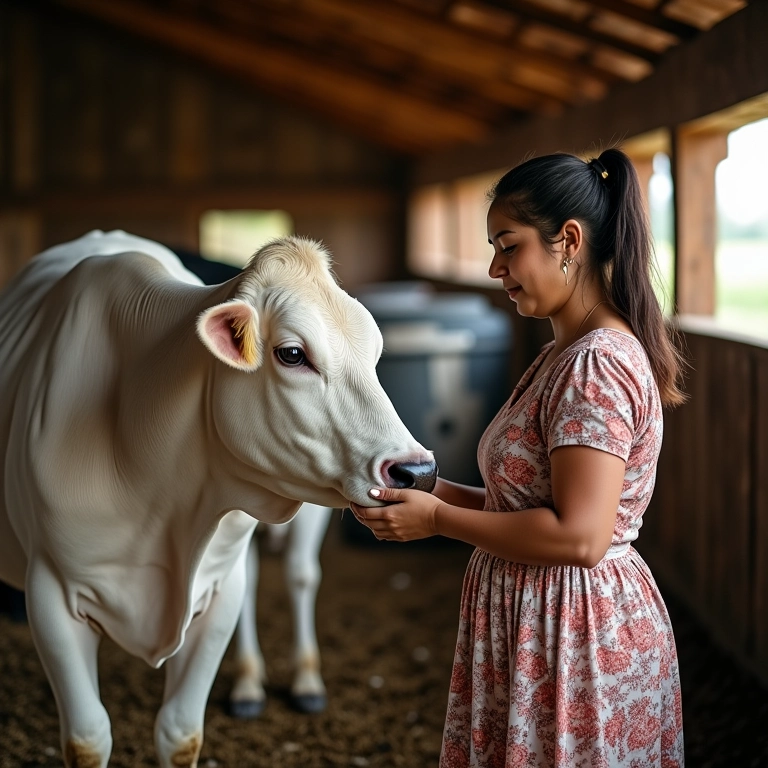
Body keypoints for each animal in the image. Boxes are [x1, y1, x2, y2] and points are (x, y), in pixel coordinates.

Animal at [0, 230, 437, 768]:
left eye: (374, 353)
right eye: (292, 354)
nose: (418, 471)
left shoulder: (218, 588)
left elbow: (180, 732)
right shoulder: (50, 594)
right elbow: (87, 738)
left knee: (299, 575)